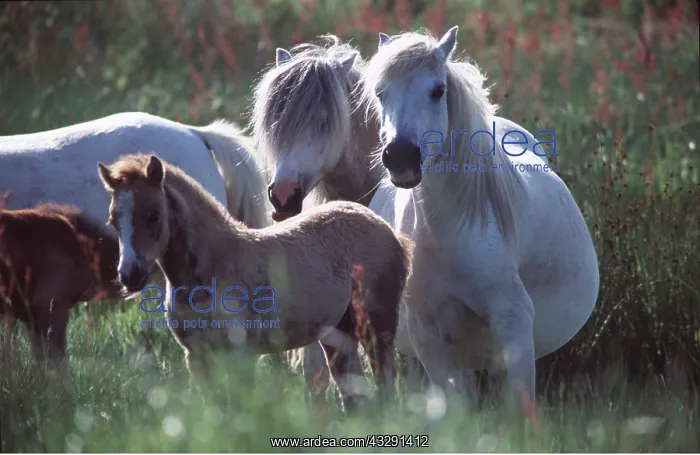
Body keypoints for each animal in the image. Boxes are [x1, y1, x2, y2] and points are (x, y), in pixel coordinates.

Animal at [97, 153, 414, 410]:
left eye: (154, 215)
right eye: (113, 220)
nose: (129, 275)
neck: (214, 265)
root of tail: (387, 230)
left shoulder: (239, 354)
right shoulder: (197, 357)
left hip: (378, 328)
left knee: (385, 387)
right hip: (339, 334)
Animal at [360, 27, 600, 412]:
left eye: (437, 90)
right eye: (380, 93)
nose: (400, 156)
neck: (449, 236)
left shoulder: (513, 322)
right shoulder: (428, 334)